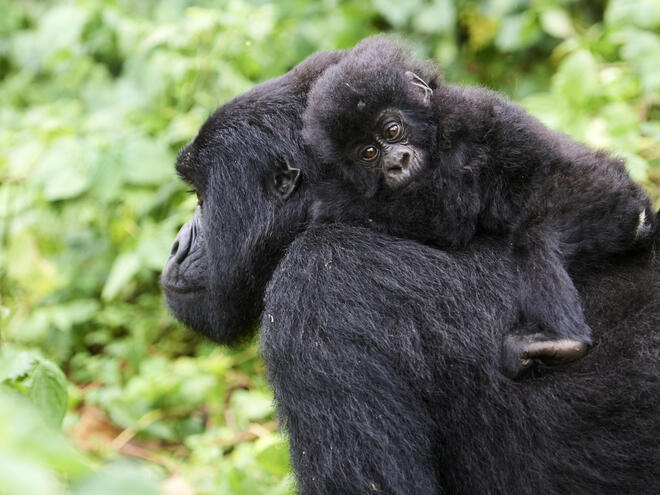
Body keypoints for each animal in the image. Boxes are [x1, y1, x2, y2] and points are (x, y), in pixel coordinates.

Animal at [302, 37, 656, 380]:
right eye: (368, 153)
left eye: (392, 130)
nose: (395, 163)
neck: (433, 120)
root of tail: (642, 212)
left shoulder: (460, 126)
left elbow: (448, 217)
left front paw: (331, 199)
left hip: (604, 193)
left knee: (536, 239)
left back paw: (563, 340)